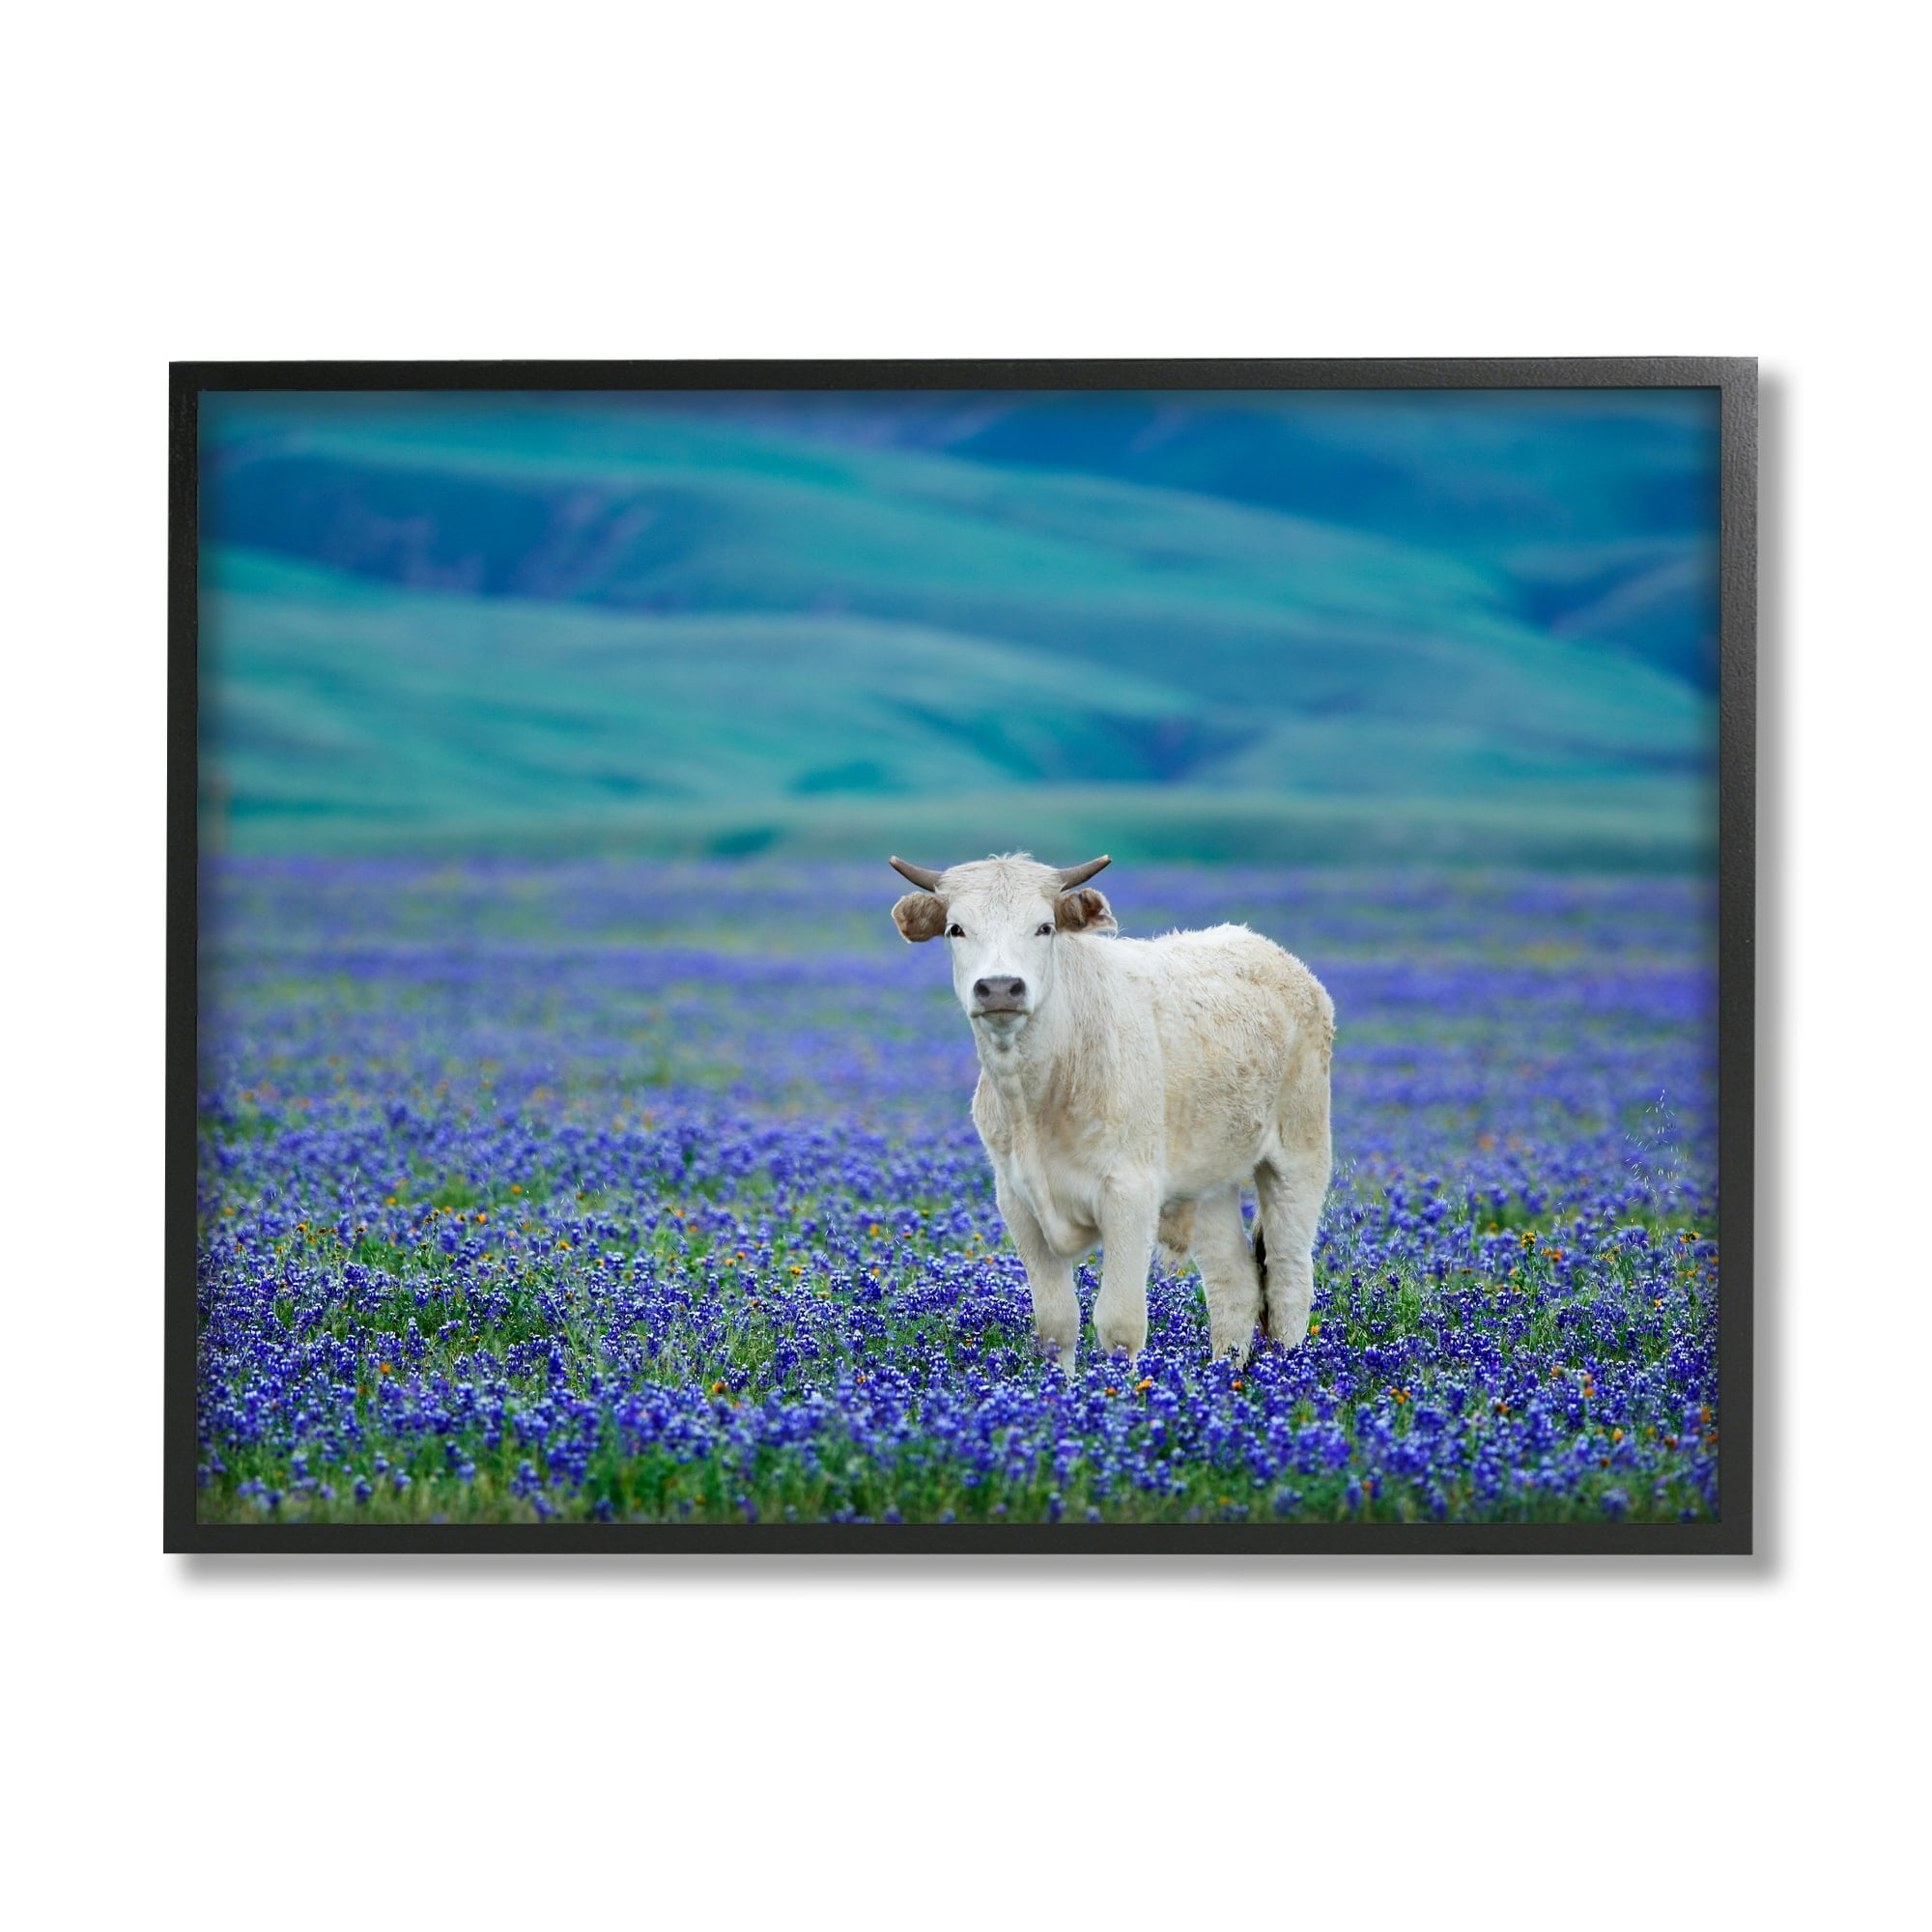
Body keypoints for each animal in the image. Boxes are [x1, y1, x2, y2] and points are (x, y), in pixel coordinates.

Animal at [889, 851, 1333, 1368]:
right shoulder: (1017, 1201)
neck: (1035, 1096)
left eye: (1044, 927)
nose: (1000, 988)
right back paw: (1229, 1378)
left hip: (1298, 1158)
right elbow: (1056, 1324)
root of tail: (1270, 951)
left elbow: (1120, 1323)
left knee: (1287, 1281)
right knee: (1233, 1287)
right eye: (956, 929)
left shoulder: (1129, 1194)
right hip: (1209, 1183)